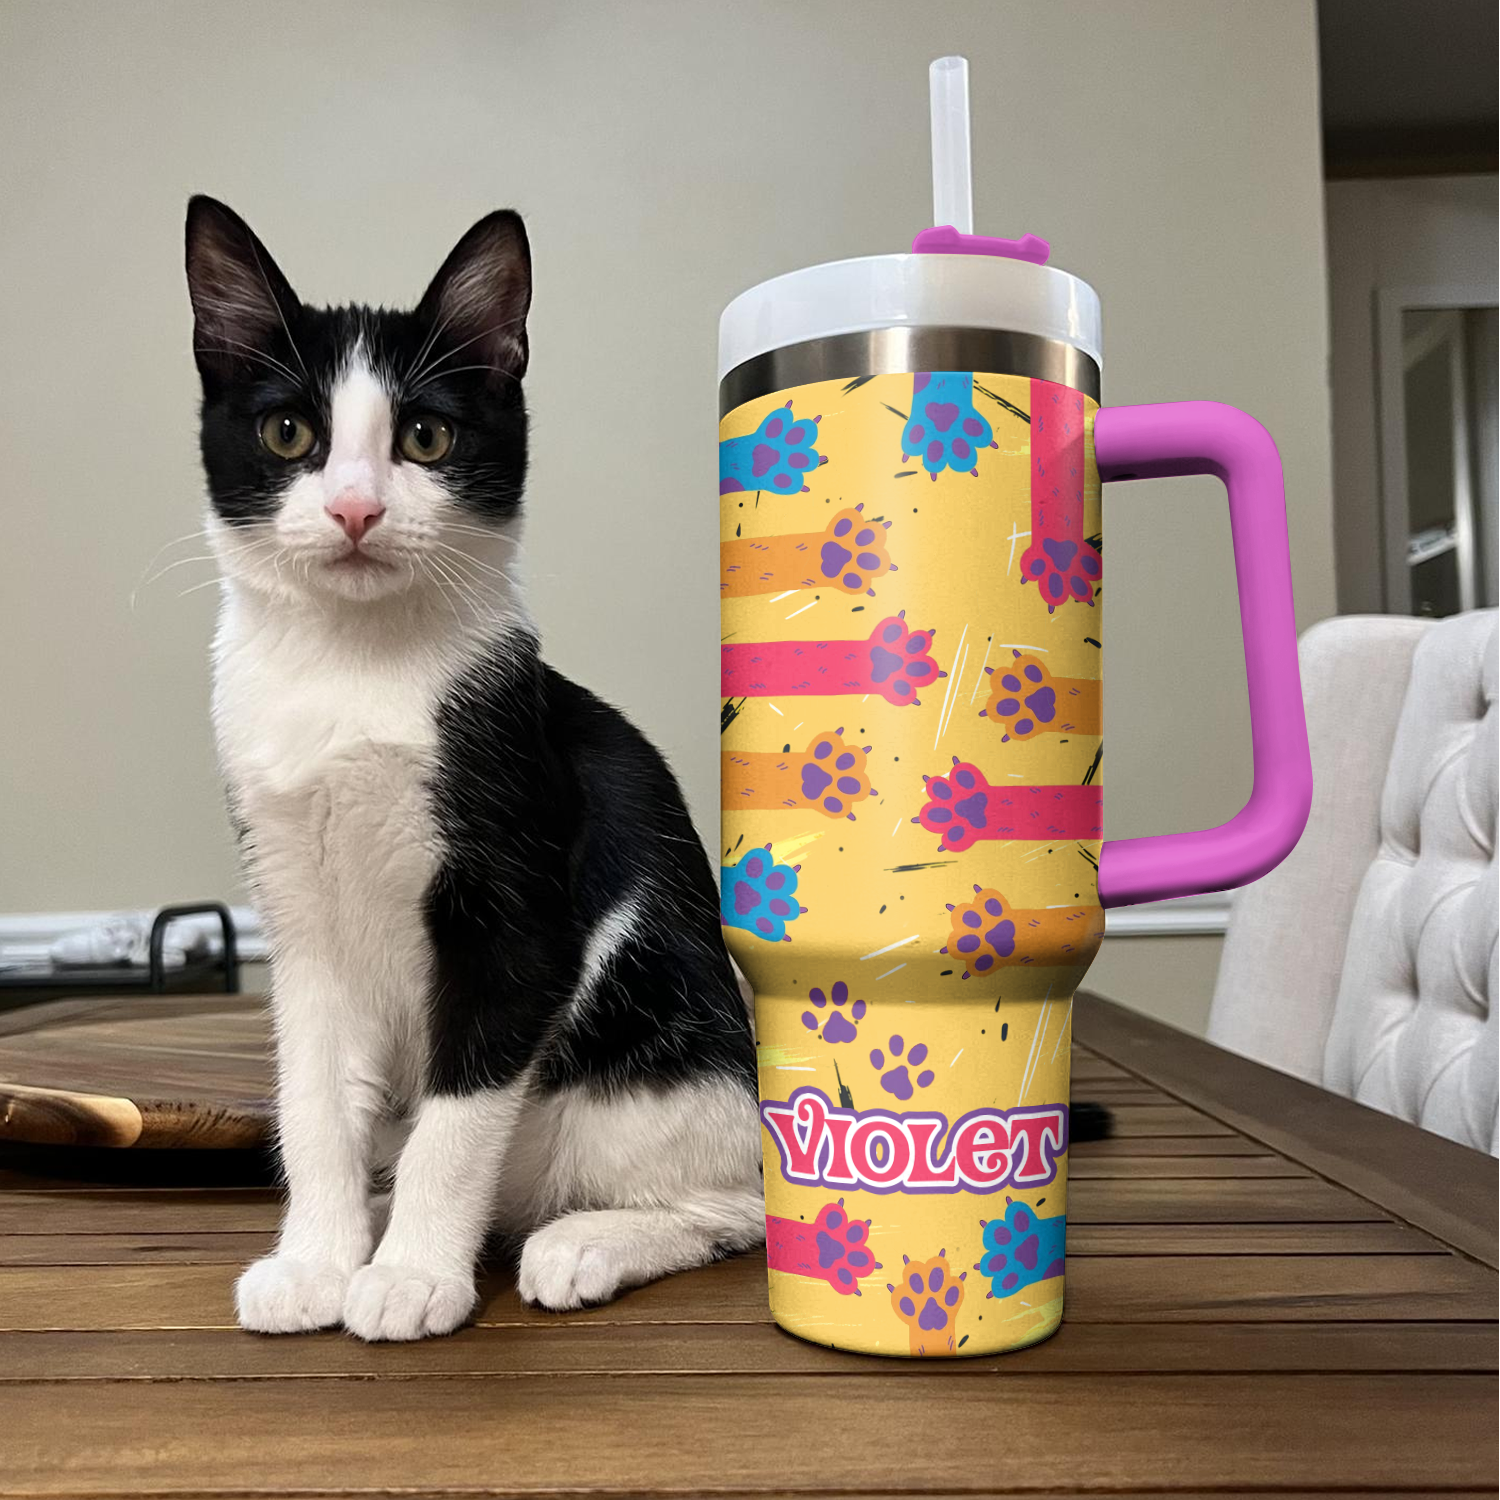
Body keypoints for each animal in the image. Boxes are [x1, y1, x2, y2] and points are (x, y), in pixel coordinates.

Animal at [186, 196, 764, 1340]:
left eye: (425, 435)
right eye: (288, 432)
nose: (356, 509)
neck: (353, 669)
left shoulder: (516, 896)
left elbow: (458, 1115)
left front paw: (412, 1276)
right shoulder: (298, 912)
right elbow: (312, 1097)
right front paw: (317, 1259)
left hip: (653, 1049)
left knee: (739, 1200)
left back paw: (586, 1241)